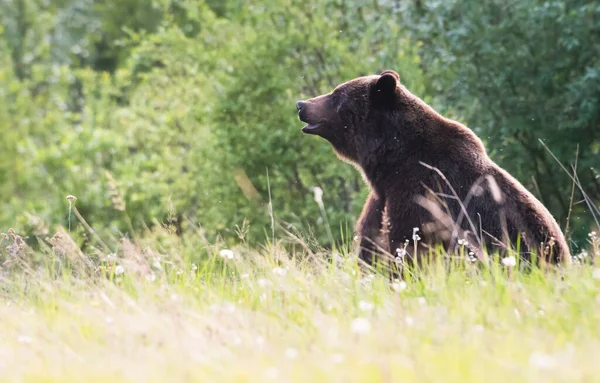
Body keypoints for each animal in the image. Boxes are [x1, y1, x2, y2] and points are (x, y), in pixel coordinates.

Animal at [298, 70, 568, 268]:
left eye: (336, 94)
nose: (301, 104)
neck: (388, 161)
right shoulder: (383, 197)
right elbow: (371, 240)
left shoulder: (420, 191)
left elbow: (408, 242)